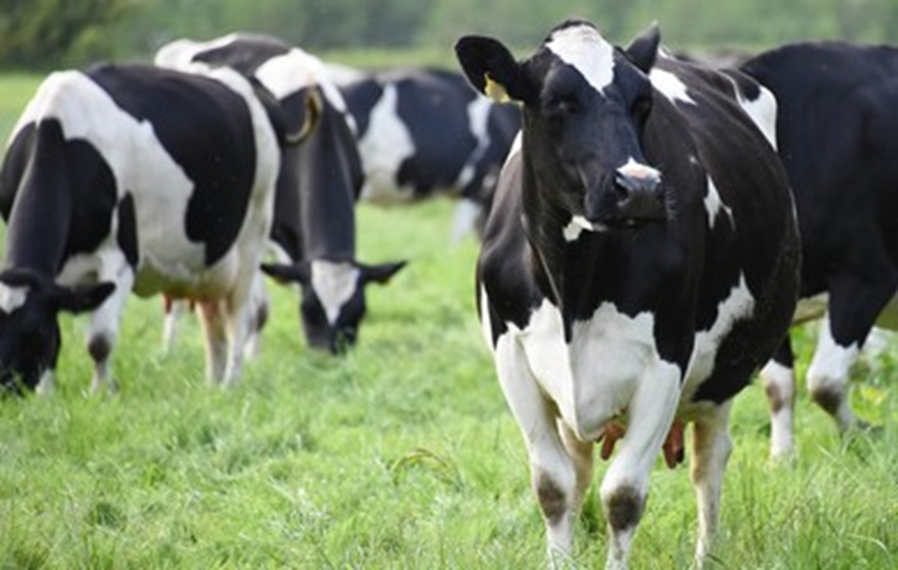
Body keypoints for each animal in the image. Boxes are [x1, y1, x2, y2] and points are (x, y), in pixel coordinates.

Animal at [0, 62, 316, 393]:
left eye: (33, 331)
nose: (8, 387)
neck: (59, 136)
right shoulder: (55, 278)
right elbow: (57, 334)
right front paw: (46, 395)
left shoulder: (121, 256)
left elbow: (99, 341)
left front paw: (98, 394)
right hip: (208, 260)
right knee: (212, 317)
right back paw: (212, 384)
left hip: (253, 231)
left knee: (240, 313)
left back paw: (230, 382)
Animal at [156, 33, 405, 354]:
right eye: (309, 309)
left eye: (358, 312)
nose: (328, 355)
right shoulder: (263, 230)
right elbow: (258, 310)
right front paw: (251, 358)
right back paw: (168, 350)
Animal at [455, 20, 799, 568]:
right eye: (556, 101)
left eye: (643, 102)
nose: (638, 188)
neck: (573, 287)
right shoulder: (512, 356)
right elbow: (553, 487)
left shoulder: (665, 363)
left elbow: (623, 496)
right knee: (579, 471)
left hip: (722, 373)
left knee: (709, 462)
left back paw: (707, 554)